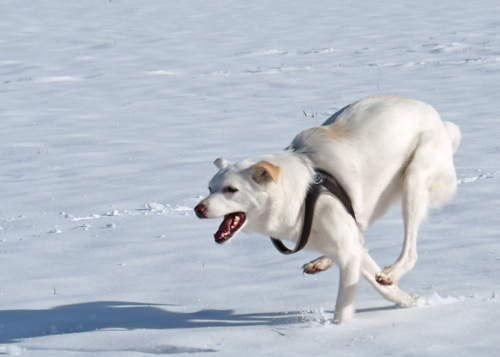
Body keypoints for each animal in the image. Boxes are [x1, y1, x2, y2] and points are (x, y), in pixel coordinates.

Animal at [194, 95, 460, 322]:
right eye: (210, 188)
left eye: (231, 189)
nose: (197, 209)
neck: (303, 195)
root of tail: (437, 118)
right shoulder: (351, 248)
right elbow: (371, 274)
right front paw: (407, 300)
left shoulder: (350, 252)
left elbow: (344, 304)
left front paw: (337, 332)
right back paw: (323, 261)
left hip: (413, 182)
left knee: (410, 250)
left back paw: (392, 272)